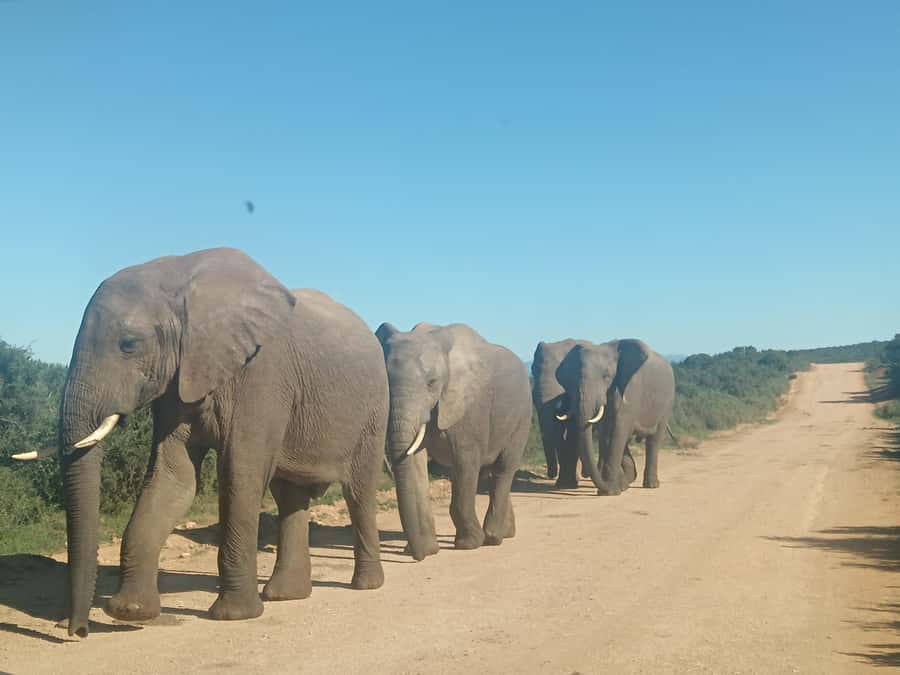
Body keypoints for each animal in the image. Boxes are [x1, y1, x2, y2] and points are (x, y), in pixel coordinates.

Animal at [20, 248, 388, 637]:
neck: (181, 278)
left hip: (374, 408)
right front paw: (130, 612)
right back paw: (285, 595)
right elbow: (173, 476)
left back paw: (365, 585)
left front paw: (233, 616)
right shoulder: (177, 380)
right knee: (290, 495)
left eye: (129, 344)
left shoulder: (262, 374)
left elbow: (240, 475)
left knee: (358, 491)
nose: (76, 630)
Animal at [375, 322, 532, 560]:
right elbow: (416, 463)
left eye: (431, 383)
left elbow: (465, 462)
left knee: (504, 469)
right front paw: (428, 549)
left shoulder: (468, 406)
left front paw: (469, 545)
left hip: (522, 416)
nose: (418, 556)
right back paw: (507, 533)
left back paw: (493, 537)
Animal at [532, 340, 637, 489]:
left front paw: (568, 484)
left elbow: (572, 433)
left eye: (561, 381)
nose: (550, 474)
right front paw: (565, 484)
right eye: (533, 370)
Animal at [555, 339, 675, 496]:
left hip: (666, 403)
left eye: (606, 376)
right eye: (572, 379)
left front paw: (610, 492)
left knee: (653, 441)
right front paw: (618, 488)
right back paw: (629, 481)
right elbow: (606, 434)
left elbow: (618, 430)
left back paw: (651, 485)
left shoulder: (630, 389)